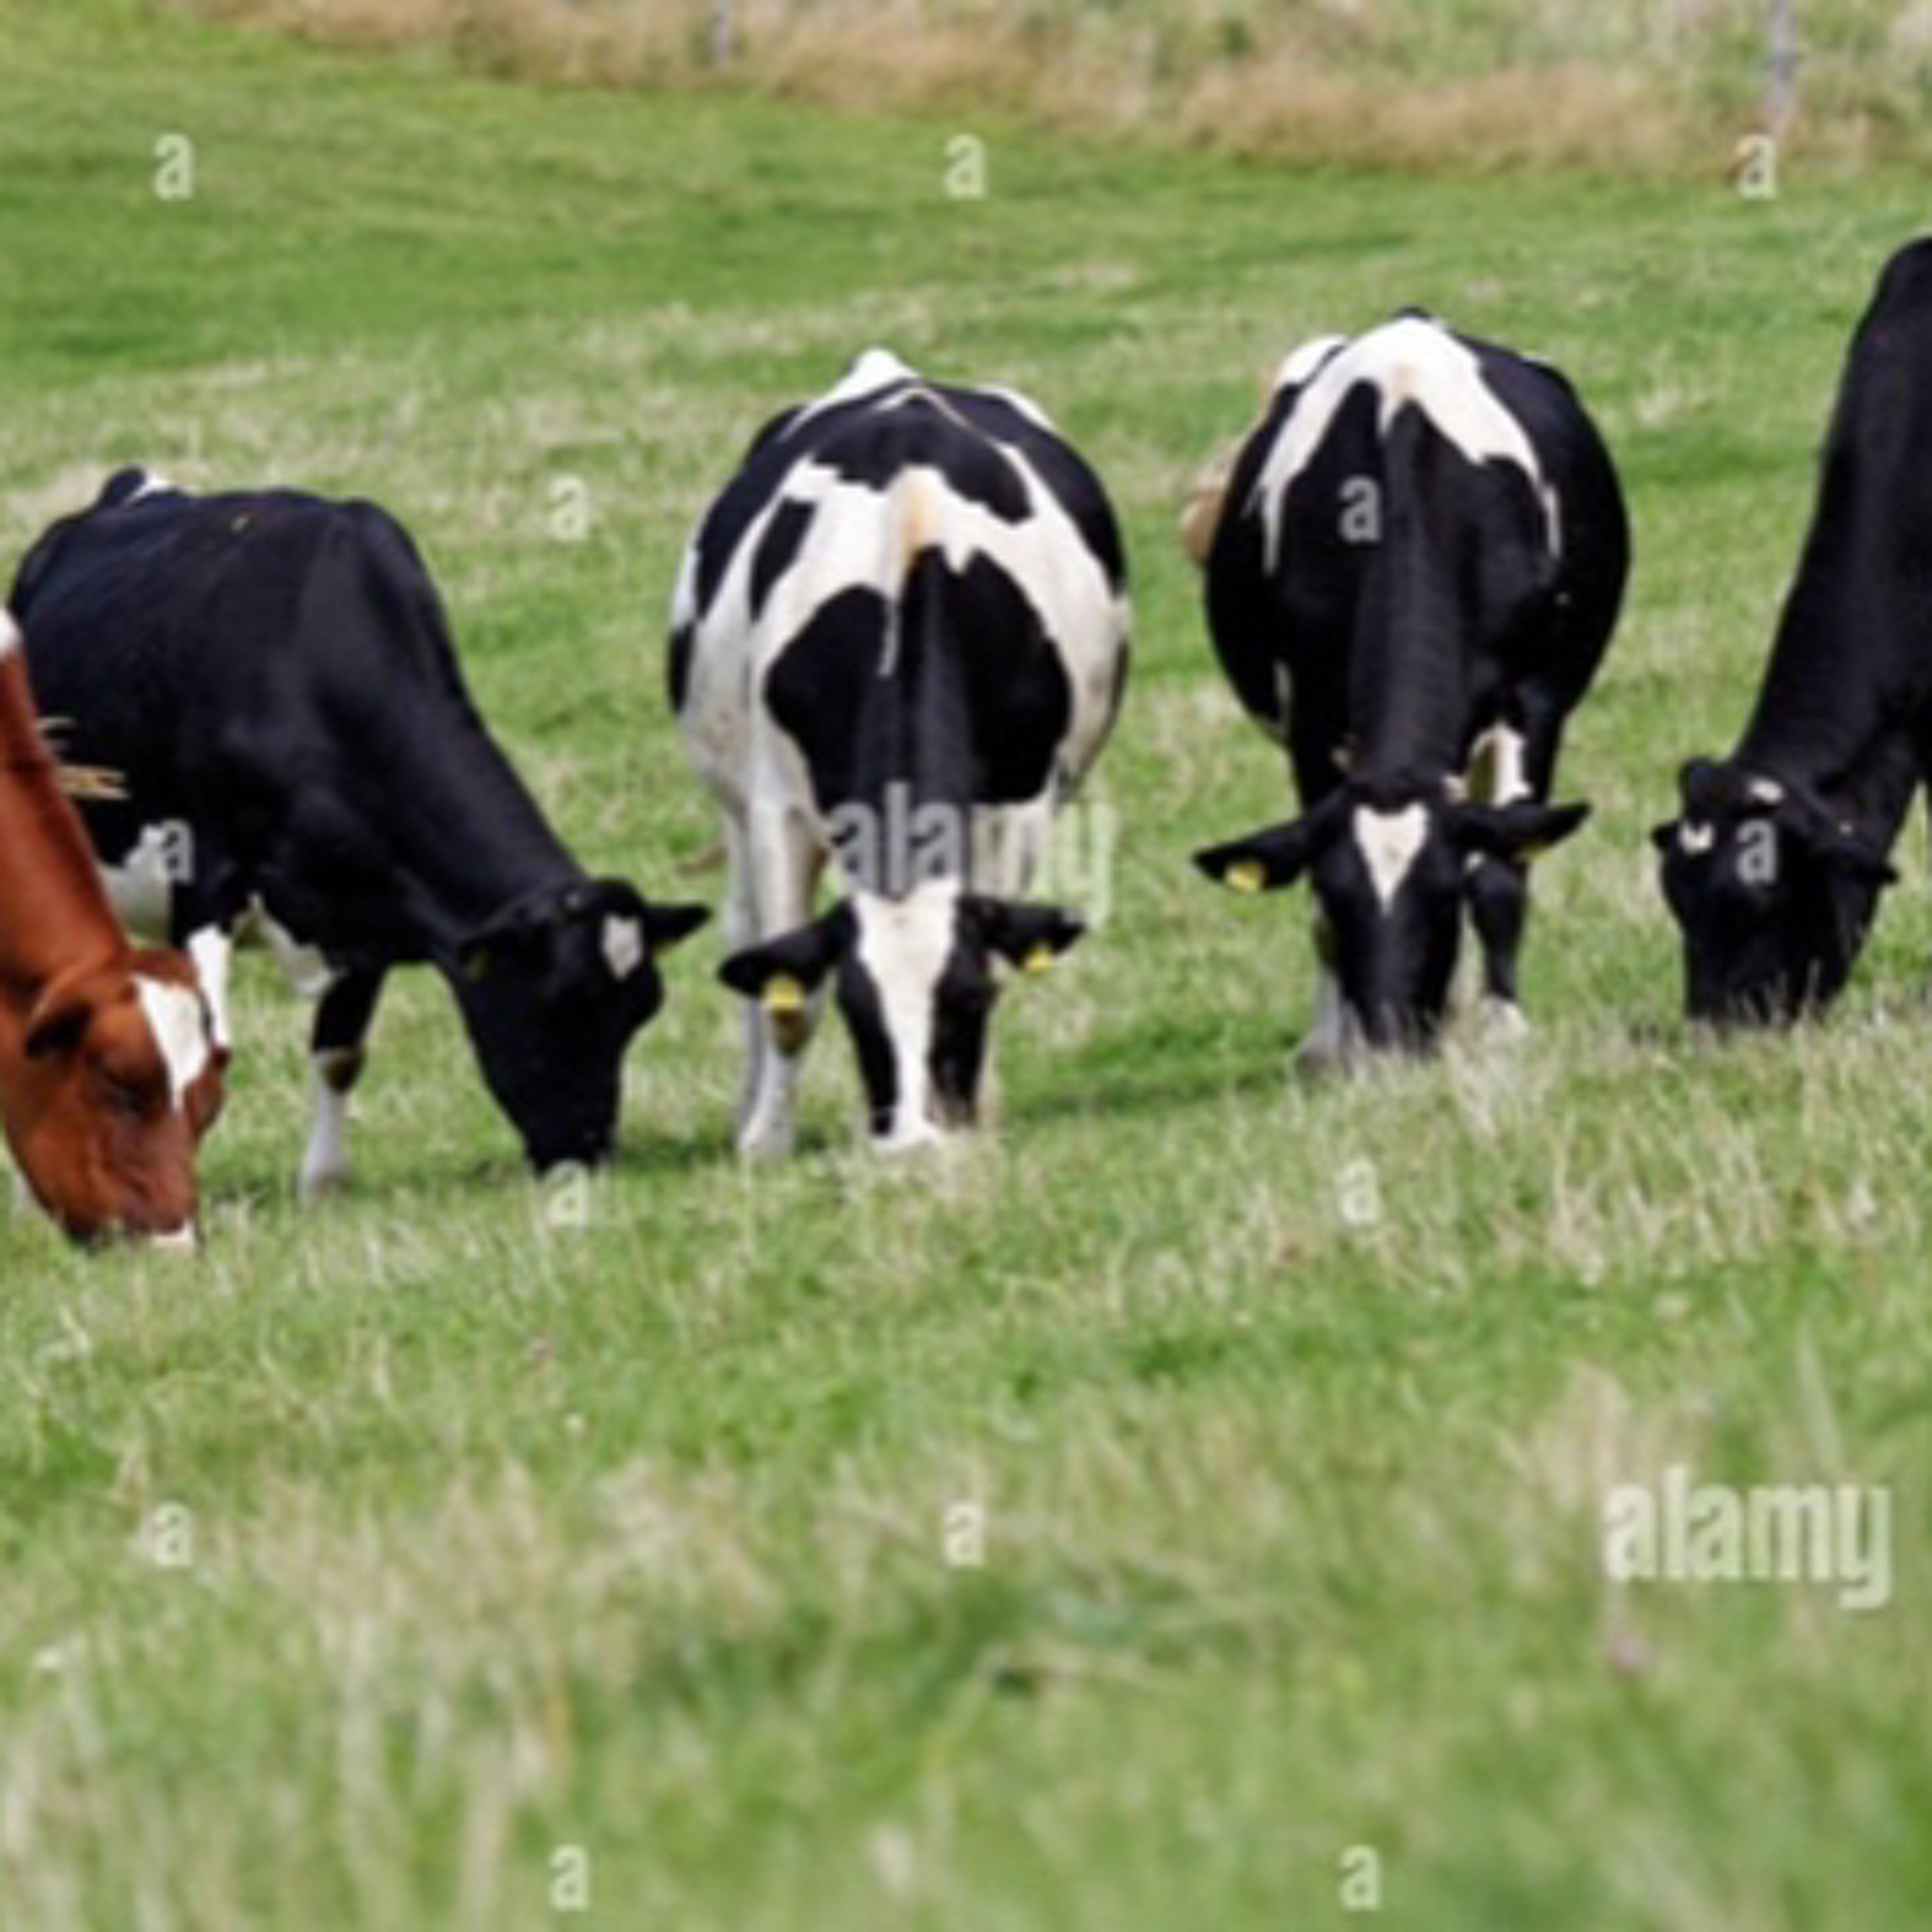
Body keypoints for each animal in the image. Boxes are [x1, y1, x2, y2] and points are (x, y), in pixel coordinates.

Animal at [10, 472, 709, 1194]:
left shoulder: (374, 901)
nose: (589, 1156)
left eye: (642, 1009)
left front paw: (323, 1184)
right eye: (558, 1003)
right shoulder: (204, 878)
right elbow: (204, 1048)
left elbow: (340, 1052)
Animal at [670, 348, 1129, 1155]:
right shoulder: (779, 809)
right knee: (748, 939)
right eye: (859, 1009)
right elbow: (789, 998)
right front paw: (767, 1142)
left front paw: (976, 1116)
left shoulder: (1019, 808)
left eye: (967, 999)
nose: (914, 1140)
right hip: (731, 799)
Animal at [1186, 313, 1628, 1066]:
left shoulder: (1533, 701)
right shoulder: (1310, 723)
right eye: (1343, 901)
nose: (1391, 1038)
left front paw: (1503, 1026)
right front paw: (1332, 1047)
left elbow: (1499, 872)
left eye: (1443, 901)